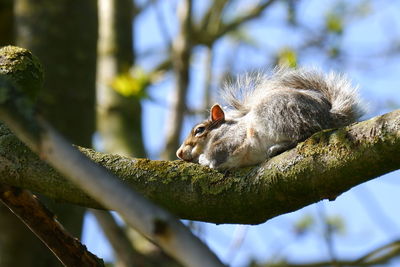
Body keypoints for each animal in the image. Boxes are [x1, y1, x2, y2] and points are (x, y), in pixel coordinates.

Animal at [177, 68, 364, 171]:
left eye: (200, 130)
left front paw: (204, 159)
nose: (179, 153)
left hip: (278, 116)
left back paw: (278, 147)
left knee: (303, 134)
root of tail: (328, 117)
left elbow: (217, 153)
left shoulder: (232, 138)